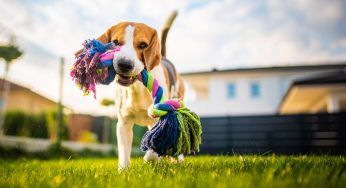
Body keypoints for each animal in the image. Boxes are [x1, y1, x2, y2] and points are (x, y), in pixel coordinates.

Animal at [91, 14, 184, 168]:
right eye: (115, 42)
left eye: (143, 45)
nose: (124, 64)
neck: (136, 88)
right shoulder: (123, 124)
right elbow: (124, 154)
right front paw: (124, 170)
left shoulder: (160, 119)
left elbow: (153, 149)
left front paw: (149, 158)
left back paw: (177, 159)